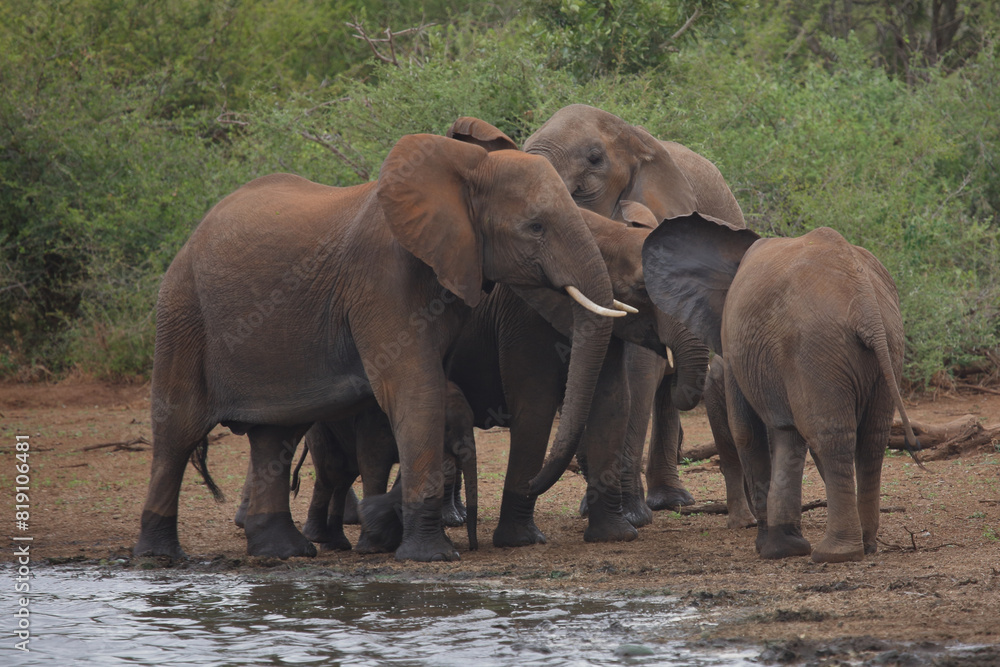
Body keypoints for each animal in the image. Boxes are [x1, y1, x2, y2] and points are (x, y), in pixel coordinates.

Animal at [640, 217, 920, 560]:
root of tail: (865, 304)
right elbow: (788, 435)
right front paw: (785, 546)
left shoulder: (735, 344)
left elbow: (747, 431)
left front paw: (771, 548)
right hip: (888, 346)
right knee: (872, 438)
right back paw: (866, 544)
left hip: (816, 347)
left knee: (830, 436)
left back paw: (835, 552)